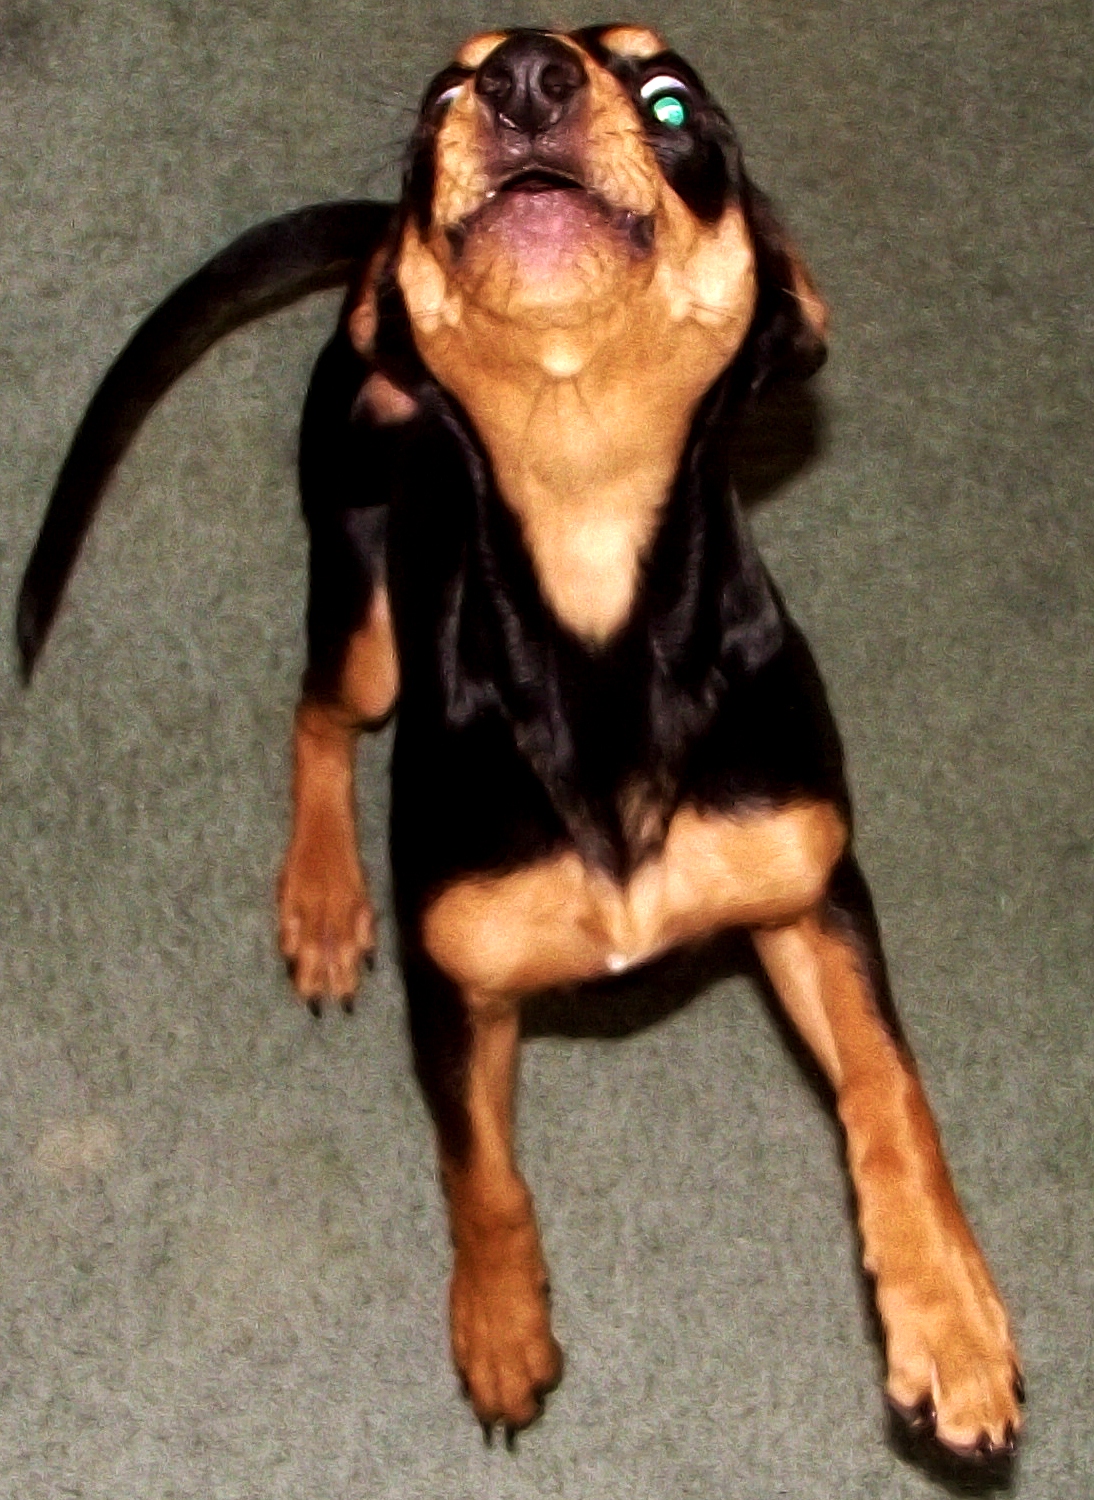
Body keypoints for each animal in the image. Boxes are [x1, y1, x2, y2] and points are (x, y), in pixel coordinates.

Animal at [19, 20, 1026, 1476]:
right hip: (363, 595)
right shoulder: (459, 990)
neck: (591, 567)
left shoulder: (811, 894)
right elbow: (479, 1172)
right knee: (318, 713)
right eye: (443, 92)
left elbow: (893, 1094)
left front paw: (946, 1318)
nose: (524, 79)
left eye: (669, 100)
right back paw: (321, 901)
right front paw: (500, 1329)